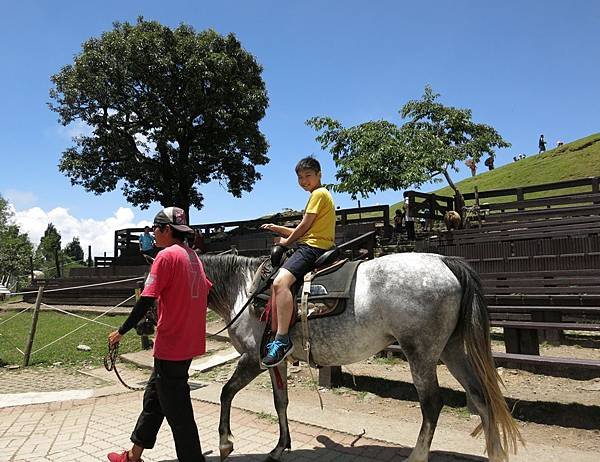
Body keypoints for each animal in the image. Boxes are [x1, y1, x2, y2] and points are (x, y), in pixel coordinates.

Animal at [200, 253, 520, 462]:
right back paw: (495, 453)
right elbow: (281, 401)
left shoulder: (252, 359)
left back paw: (417, 456)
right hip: (450, 350)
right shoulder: (273, 361)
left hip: (421, 352)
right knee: (480, 396)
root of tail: (444, 261)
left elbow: (226, 393)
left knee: (432, 404)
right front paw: (281, 447)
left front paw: (225, 443)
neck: (244, 290)